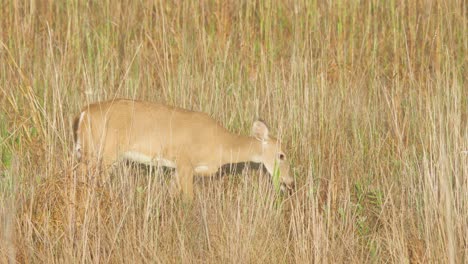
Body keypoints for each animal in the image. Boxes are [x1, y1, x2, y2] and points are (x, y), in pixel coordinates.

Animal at [72, 99, 292, 200]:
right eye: (282, 155)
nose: (289, 183)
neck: (222, 143)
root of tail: (83, 114)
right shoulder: (185, 162)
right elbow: (189, 199)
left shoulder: (180, 169)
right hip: (104, 153)